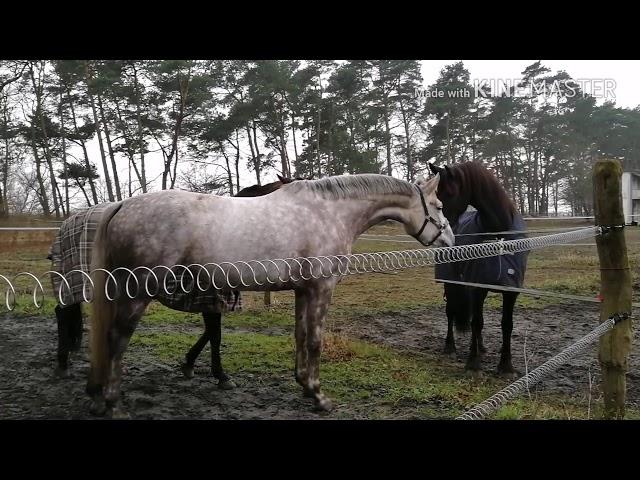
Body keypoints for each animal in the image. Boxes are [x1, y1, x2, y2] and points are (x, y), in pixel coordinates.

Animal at [50, 176, 296, 390]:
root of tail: (68, 223)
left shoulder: (211, 302)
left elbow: (209, 333)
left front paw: (188, 364)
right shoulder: (211, 299)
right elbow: (215, 335)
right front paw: (220, 375)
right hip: (77, 281)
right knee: (63, 313)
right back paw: (63, 364)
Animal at [428, 163, 528, 376]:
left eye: (449, 192)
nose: (443, 228)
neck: (499, 235)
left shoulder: (510, 290)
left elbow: (506, 324)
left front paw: (506, 366)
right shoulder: (477, 286)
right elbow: (476, 322)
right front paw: (473, 364)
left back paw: (481, 347)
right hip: (451, 282)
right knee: (451, 312)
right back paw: (450, 347)